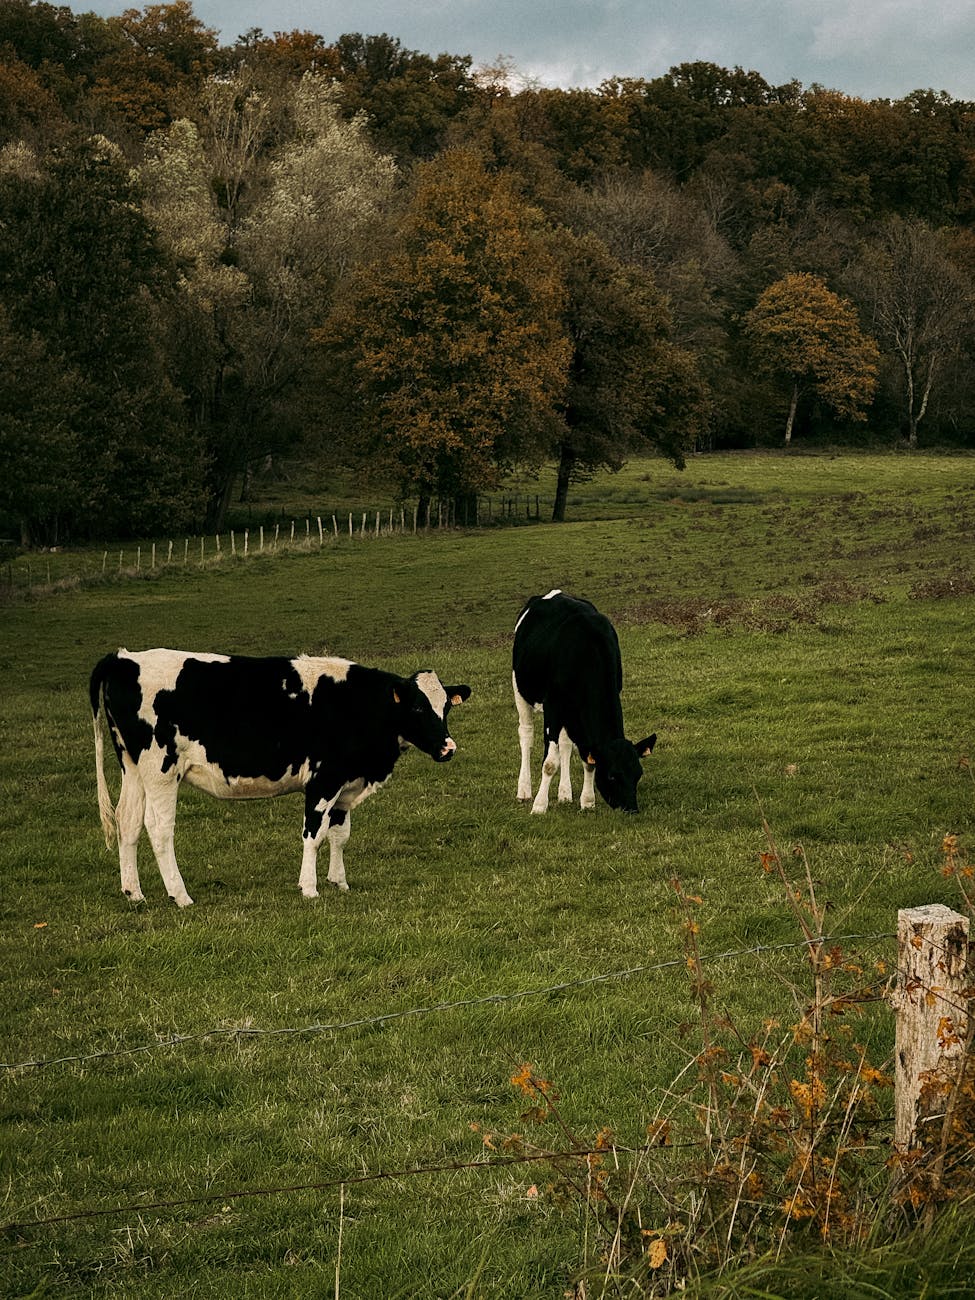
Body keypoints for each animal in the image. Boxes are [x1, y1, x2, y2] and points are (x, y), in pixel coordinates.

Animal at [90, 648, 471, 906]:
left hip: (133, 768)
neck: (359, 705)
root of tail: (124, 658)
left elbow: (340, 835)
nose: (448, 747)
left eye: (445, 707)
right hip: (160, 770)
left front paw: (339, 881)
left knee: (128, 821)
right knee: (158, 828)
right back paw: (180, 895)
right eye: (418, 707)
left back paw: (134, 893)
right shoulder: (323, 780)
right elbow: (314, 835)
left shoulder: (346, 784)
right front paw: (310, 888)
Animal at [513, 590, 655, 814]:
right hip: (521, 689)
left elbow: (588, 760)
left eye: (638, 774)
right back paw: (524, 790)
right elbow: (549, 764)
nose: (632, 809)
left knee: (565, 744)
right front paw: (539, 805)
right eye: (612, 776)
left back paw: (564, 793)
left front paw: (587, 801)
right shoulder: (553, 707)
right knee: (526, 734)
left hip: (569, 712)